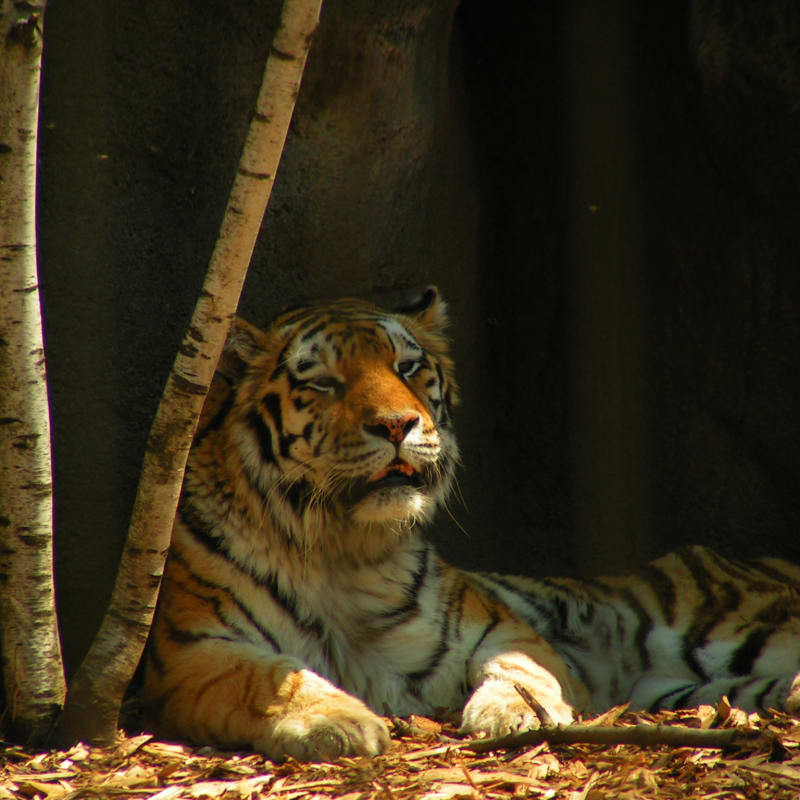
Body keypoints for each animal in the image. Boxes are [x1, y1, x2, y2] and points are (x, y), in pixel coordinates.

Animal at [143, 288, 800, 762]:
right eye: (323, 381)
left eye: (408, 367)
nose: (397, 424)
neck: (342, 545)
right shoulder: (194, 650)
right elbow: (270, 677)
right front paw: (339, 721)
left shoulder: (502, 628)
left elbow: (521, 670)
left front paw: (513, 716)